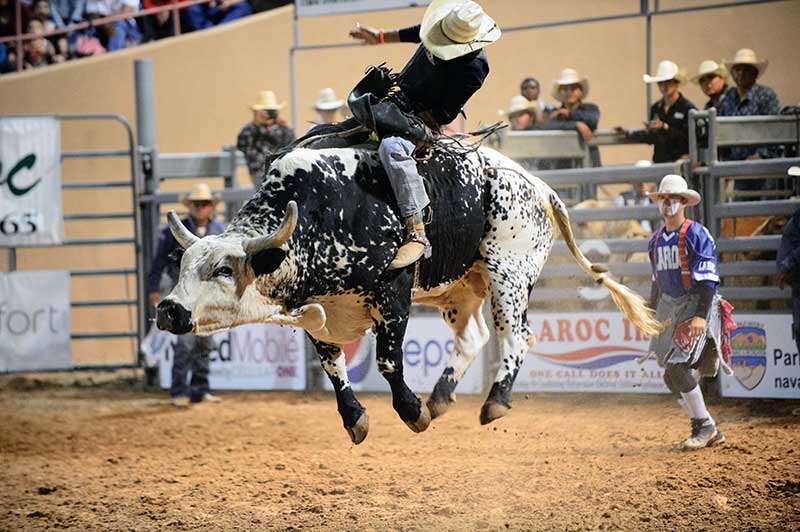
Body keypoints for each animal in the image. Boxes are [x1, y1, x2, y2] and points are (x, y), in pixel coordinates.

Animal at [156, 142, 664, 444]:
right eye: (180, 266)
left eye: (224, 269)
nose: (168, 310)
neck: (322, 215)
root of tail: (538, 185)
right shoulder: (322, 313)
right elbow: (334, 366)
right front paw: (356, 418)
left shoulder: (393, 294)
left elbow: (386, 361)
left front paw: (410, 410)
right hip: (458, 289)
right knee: (475, 336)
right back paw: (441, 396)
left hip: (509, 274)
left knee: (518, 336)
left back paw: (494, 401)